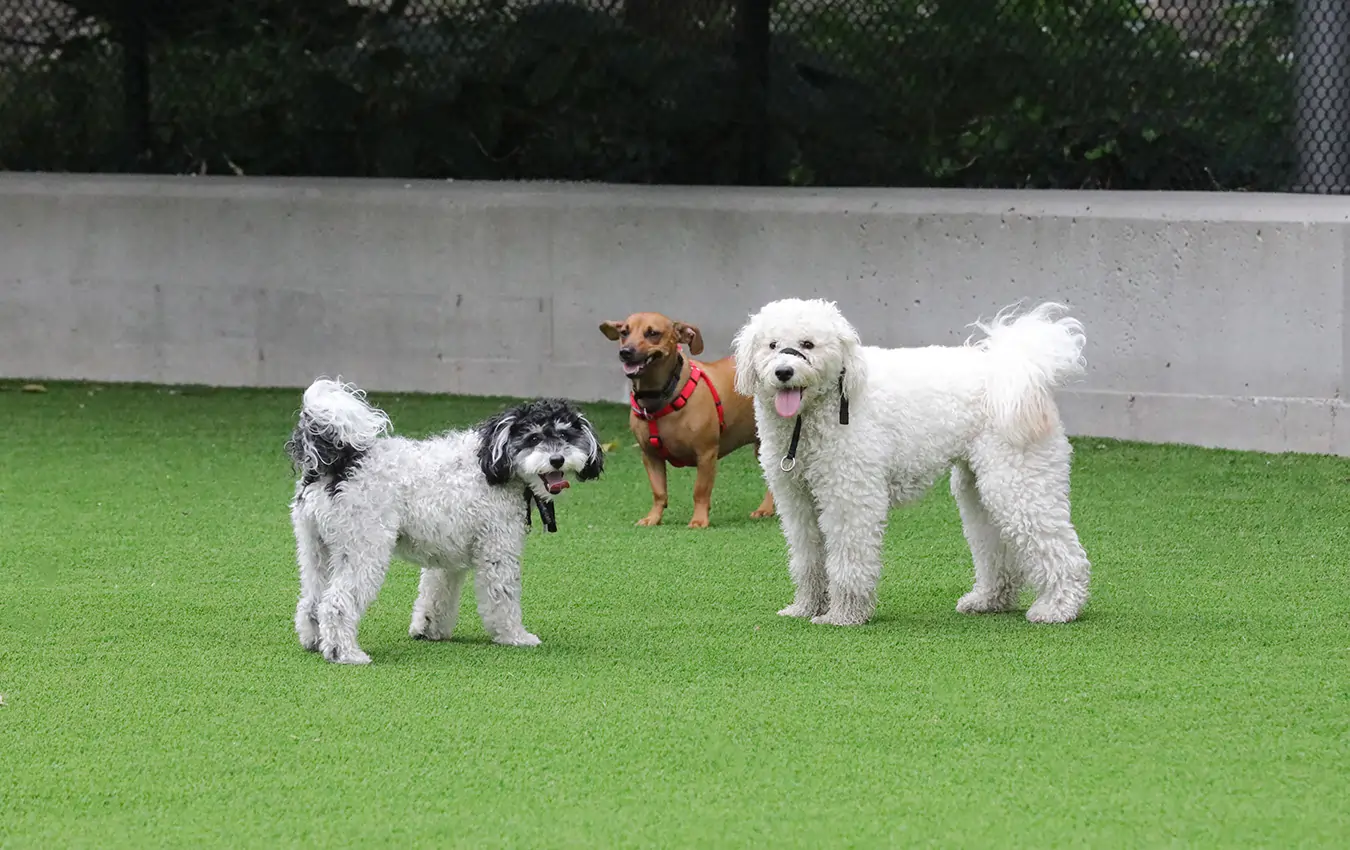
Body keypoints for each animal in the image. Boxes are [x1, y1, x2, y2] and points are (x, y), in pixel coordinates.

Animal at [287, 380, 604, 666]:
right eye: (534, 438)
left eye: (566, 435)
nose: (557, 459)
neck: (491, 461)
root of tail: (338, 463)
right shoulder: (497, 550)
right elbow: (502, 598)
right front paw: (515, 636)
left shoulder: (446, 557)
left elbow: (436, 595)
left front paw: (428, 630)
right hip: (364, 548)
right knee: (336, 603)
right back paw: (345, 653)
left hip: (316, 549)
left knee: (311, 601)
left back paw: (315, 642)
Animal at [599, 310, 777, 528]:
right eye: (624, 332)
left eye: (652, 333)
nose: (625, 352)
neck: (661, 396)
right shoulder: (650, 455)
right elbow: (659, 492)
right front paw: (653, 518)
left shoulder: (706, 454)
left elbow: (700, 490)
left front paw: (699, 520)